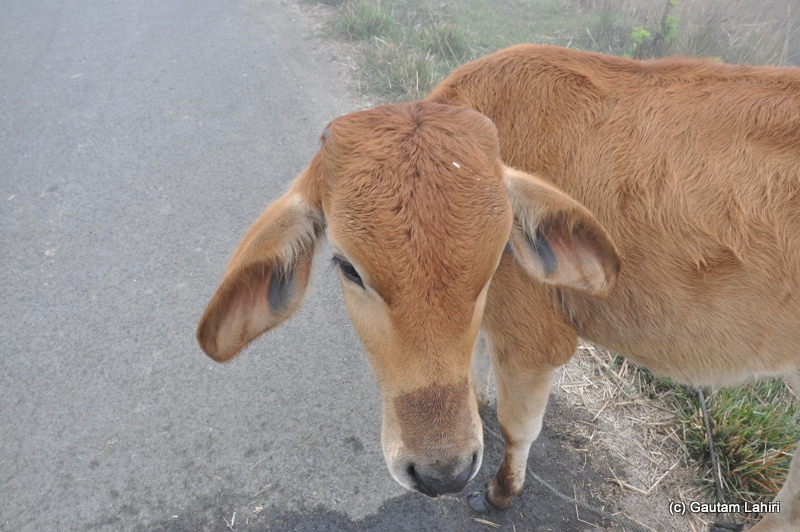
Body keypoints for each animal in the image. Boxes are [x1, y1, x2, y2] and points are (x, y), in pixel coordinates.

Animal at [197, 45, 800, 530]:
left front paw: (501, 492)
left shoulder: (534, 345)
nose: (442, 472)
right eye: (348, 268)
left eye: (493, 264)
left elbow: (517, 427)